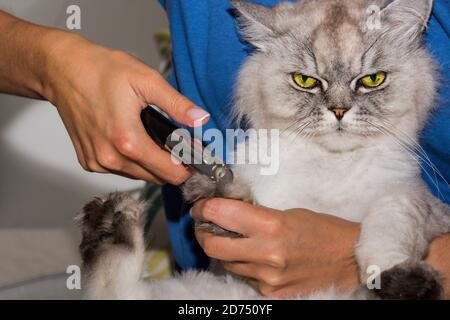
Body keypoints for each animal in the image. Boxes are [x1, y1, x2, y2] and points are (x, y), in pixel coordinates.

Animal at [76, 0, 450, 300]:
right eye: (306, 81)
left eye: (372, 80)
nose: (339, 111)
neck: (331, 166)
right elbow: (235, 200)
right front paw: (215, 191)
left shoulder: (416, 200)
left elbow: (388, 226)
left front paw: (383, 270)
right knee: (115, 288)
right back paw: (110, 221)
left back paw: (410, 285)